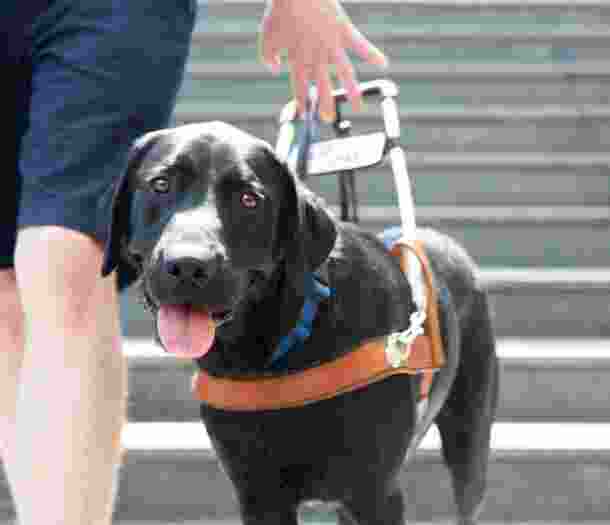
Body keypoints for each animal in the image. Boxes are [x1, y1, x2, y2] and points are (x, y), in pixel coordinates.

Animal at [102, 121, 496, 524]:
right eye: (161, 184)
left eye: (249, 199)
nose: (188, 265)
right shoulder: (259, 496)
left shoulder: (375, 494)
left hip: (470, 441)